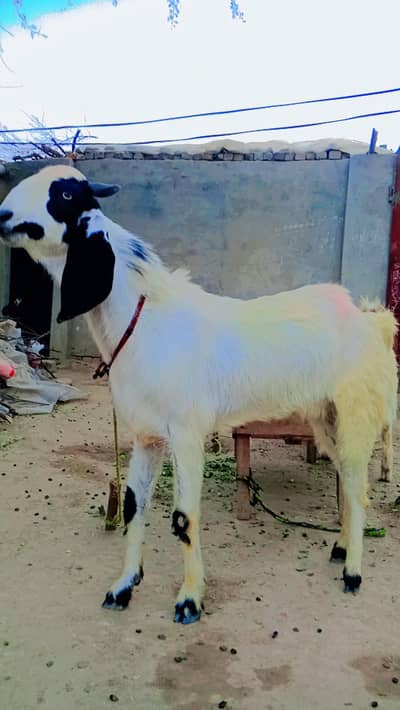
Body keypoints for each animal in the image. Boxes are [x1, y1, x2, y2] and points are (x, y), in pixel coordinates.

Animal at [0, 165, 397, 624]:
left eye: (64, 194)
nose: (3, 215)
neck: (145, 320)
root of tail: (372, 321)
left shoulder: (187, 432)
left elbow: (184, 517)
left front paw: (189, 600)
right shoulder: (146, 435)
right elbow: (133, 505)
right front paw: (123, 586)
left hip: (356, 412)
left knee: (357, 487)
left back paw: (353, 572)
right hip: (324, 418)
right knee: (347, 480)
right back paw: (341, 549)